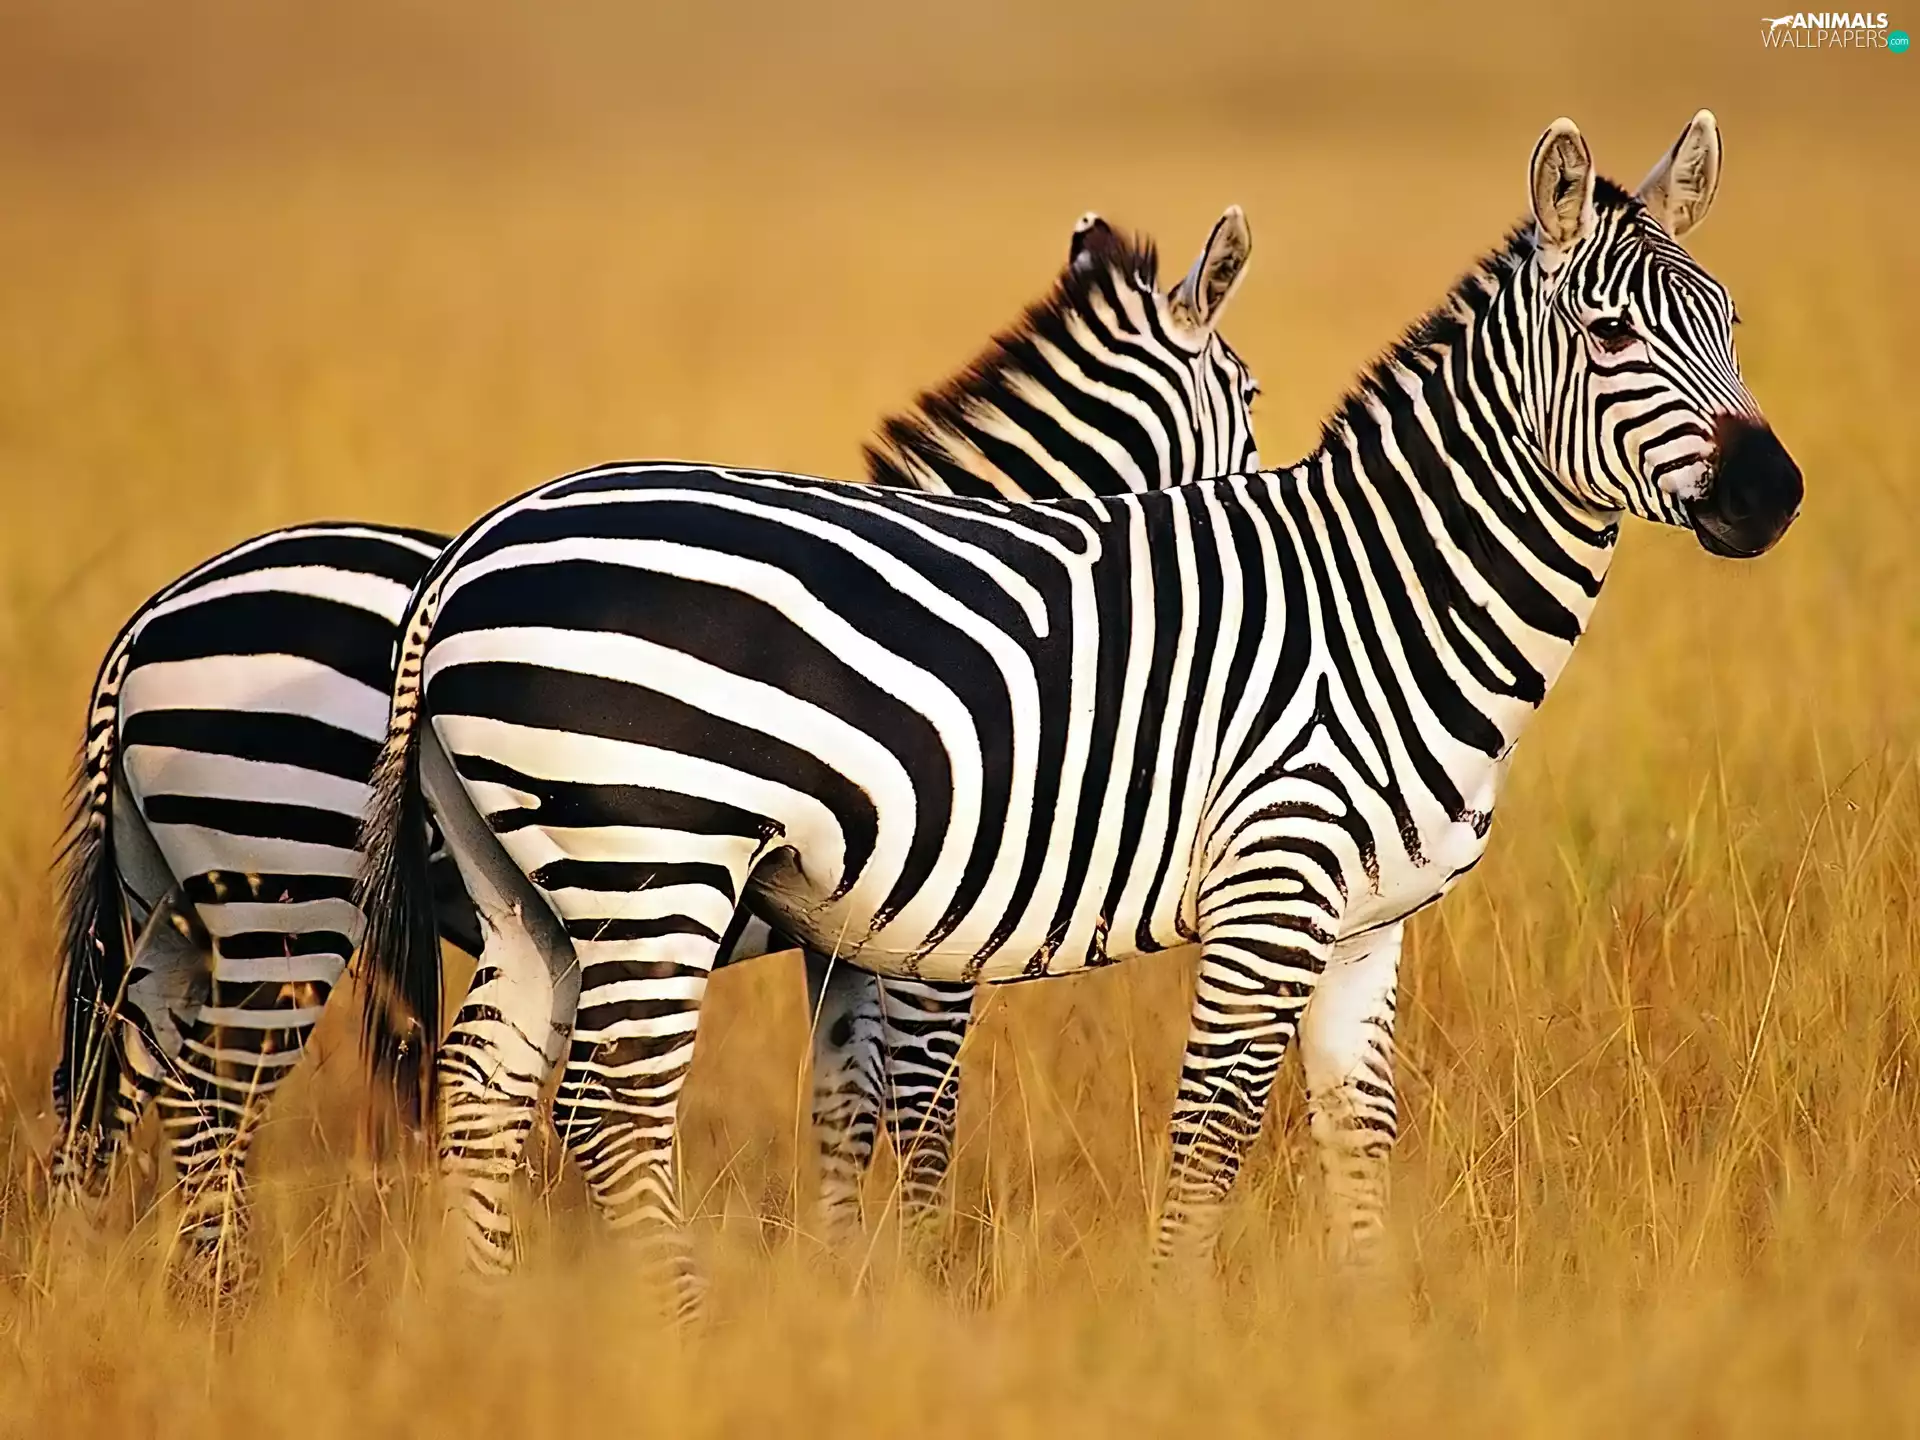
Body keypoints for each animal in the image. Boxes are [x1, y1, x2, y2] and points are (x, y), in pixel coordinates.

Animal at [50, 208, 1262, 1279]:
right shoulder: (924, 928)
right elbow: (918, 1110)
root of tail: (148, 624)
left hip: (170, 902)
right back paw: (218, 1297)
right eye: (1251, 396)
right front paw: (917, 1276)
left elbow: (843, 1107)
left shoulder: (847, 937)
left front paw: (840, 1277)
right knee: (209, 1102)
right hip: (287, 886)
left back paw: (99, 1291)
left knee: (108, 1085)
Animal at [354, 112, 1803, 1317]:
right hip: (649, 859)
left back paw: (486, 1324)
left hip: (530, 884)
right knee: (612, 1110)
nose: (1775, 492)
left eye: (1732, 319)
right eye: (1611, 338)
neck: (1383, 597)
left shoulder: (1364, 928)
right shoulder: (1246, 897)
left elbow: (1358, 1140)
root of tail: (472, 549)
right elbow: (1194, 1133)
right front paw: (1158, 1333)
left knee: (486, 1089)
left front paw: (1371, 1332)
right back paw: (687, 1333)